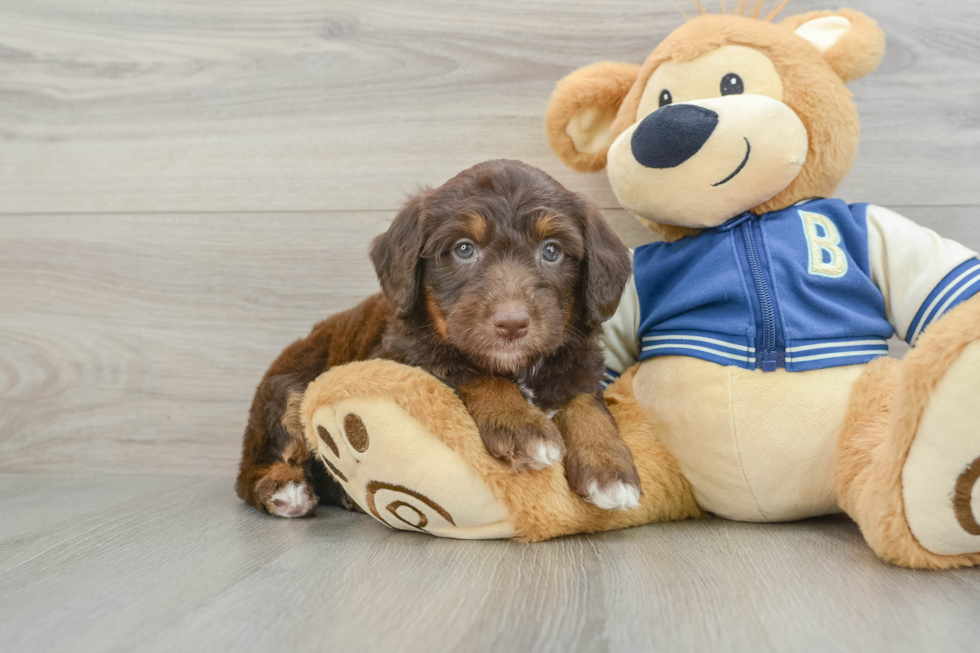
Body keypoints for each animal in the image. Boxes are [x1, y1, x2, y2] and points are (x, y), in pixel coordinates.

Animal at [234, 159, 640, 520]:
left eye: (552, 250)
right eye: (464, 249)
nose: (512, 323)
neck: (518, 367)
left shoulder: (579, 364)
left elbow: (586, 402)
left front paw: (609, 466)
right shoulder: (407, 357)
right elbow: (475, 374)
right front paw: (522, 426)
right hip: (288, 392)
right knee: (255, 467)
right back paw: (285, 490)